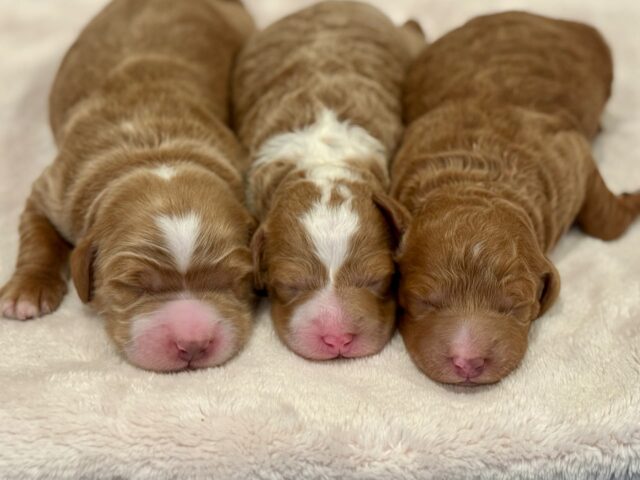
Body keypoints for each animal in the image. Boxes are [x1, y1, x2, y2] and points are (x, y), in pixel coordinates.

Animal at [1, 0, 260, 372]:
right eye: (133, 286)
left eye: (233, 279)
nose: (193, 345)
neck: (154, 152)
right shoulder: (52, 189)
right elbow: (38, 238)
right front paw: (27, 292)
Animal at [392, 11, 636, 384]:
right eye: (422, 300)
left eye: (516, 306)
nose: (467, 362)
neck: (478, 182)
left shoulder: (573, 158)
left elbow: (603, 220)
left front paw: (633, 198)